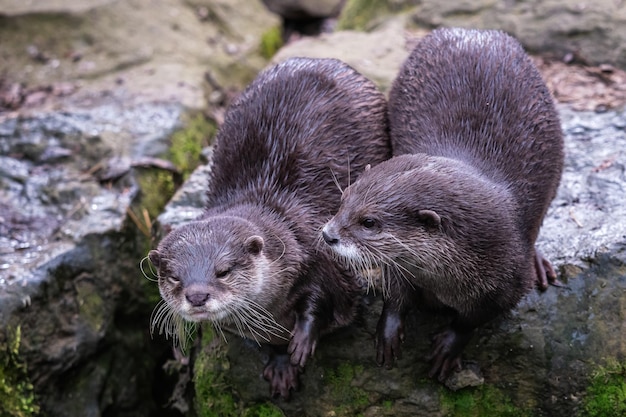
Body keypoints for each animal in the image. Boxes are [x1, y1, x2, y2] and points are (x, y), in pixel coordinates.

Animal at [147, 57, 390, 398]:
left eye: (223, 271)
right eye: (174, 277)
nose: (196, 296)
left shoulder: (316, 249)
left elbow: (326, 296)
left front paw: (301, 341)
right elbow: (263, 342)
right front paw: (280, 365)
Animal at [322, 26, 560, 380]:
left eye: (369, 222)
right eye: (343, 199)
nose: (328, 234)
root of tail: (475, 31)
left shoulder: (509, 283)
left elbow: (473, 319)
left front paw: (450, 344)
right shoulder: (401, 265)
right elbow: (395, 293)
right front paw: (389, 329)